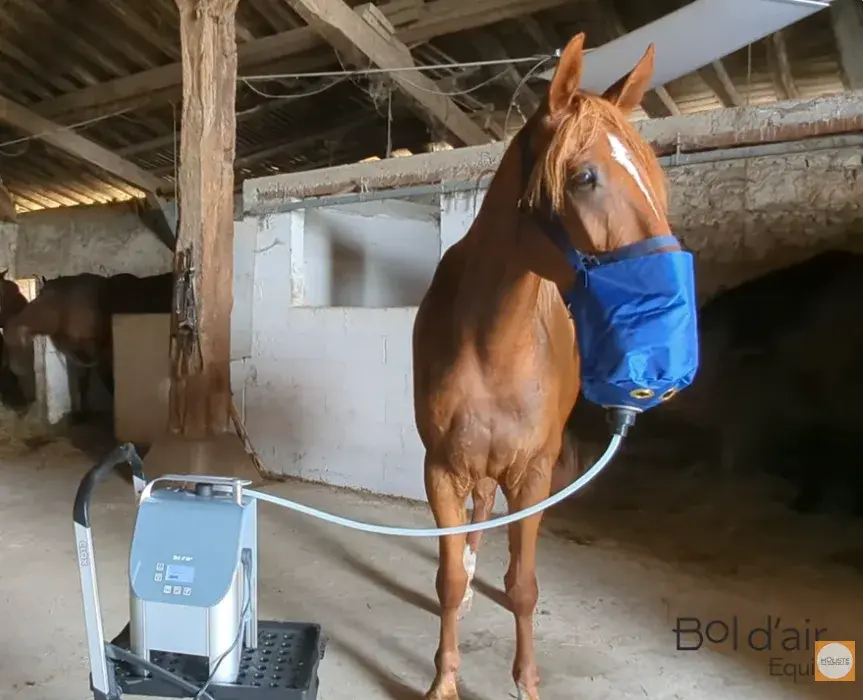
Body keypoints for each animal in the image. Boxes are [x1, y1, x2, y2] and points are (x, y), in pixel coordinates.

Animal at [412, 34, 682, 700]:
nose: (664, 333)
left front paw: (527, 681)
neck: (494, 344)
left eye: (656, 177)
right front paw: (444, 679)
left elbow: (525, 587)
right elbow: (447, 579)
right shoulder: (441, 470)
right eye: (584, 176)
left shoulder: (533, 474)